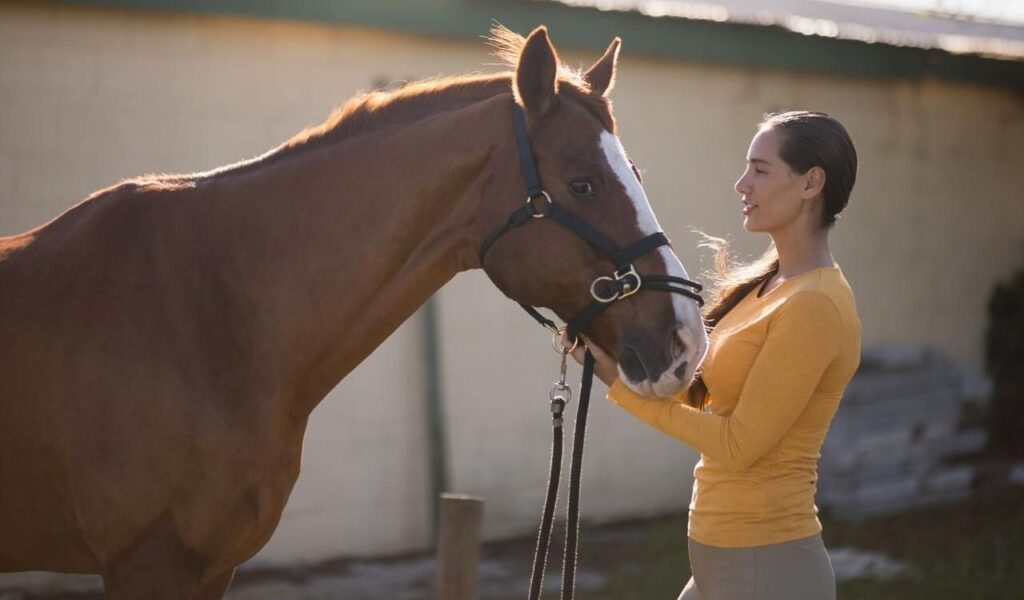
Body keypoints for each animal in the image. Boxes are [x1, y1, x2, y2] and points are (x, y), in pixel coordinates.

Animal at [0, 25, 708, 598]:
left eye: (636, 174)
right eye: (583, 183)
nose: (687, 342)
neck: (206, 316)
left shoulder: (211, 568)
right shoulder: (147, 564)